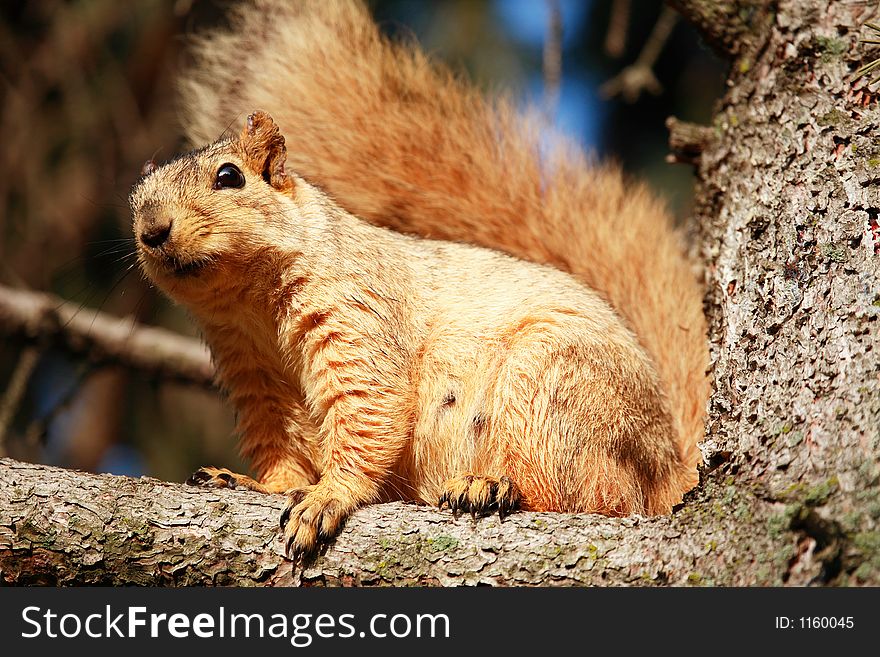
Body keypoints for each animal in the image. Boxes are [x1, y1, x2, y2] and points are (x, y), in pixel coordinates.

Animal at [129, 1, 708, 560]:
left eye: (230, 177)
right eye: (135, 203)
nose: (153, 231)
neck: (252, 306)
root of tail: (670, 469)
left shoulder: (359, 313)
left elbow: (370, 409)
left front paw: (328, 495)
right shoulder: (254, 376)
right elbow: (283, 448)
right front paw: (255, 484)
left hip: (554, 386)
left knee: (594, 495)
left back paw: (492, 486)